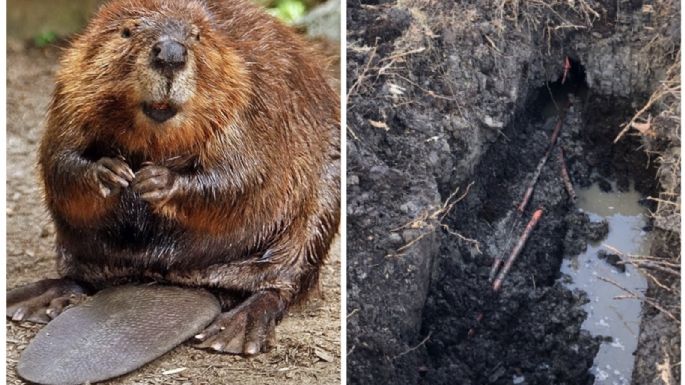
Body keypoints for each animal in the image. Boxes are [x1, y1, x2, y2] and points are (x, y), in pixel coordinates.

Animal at [5, 0, 336, 356]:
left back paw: (232, 332)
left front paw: (154, 180)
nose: (171, 54)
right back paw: (26, 300)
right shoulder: (72, 86)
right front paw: (111, 172)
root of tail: (180, 280)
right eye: (127, 31)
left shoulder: (254, 94)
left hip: (320, 207)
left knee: (281, 285)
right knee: (82, 277)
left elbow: (244, 175)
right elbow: (59, 158)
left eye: (197, 35)